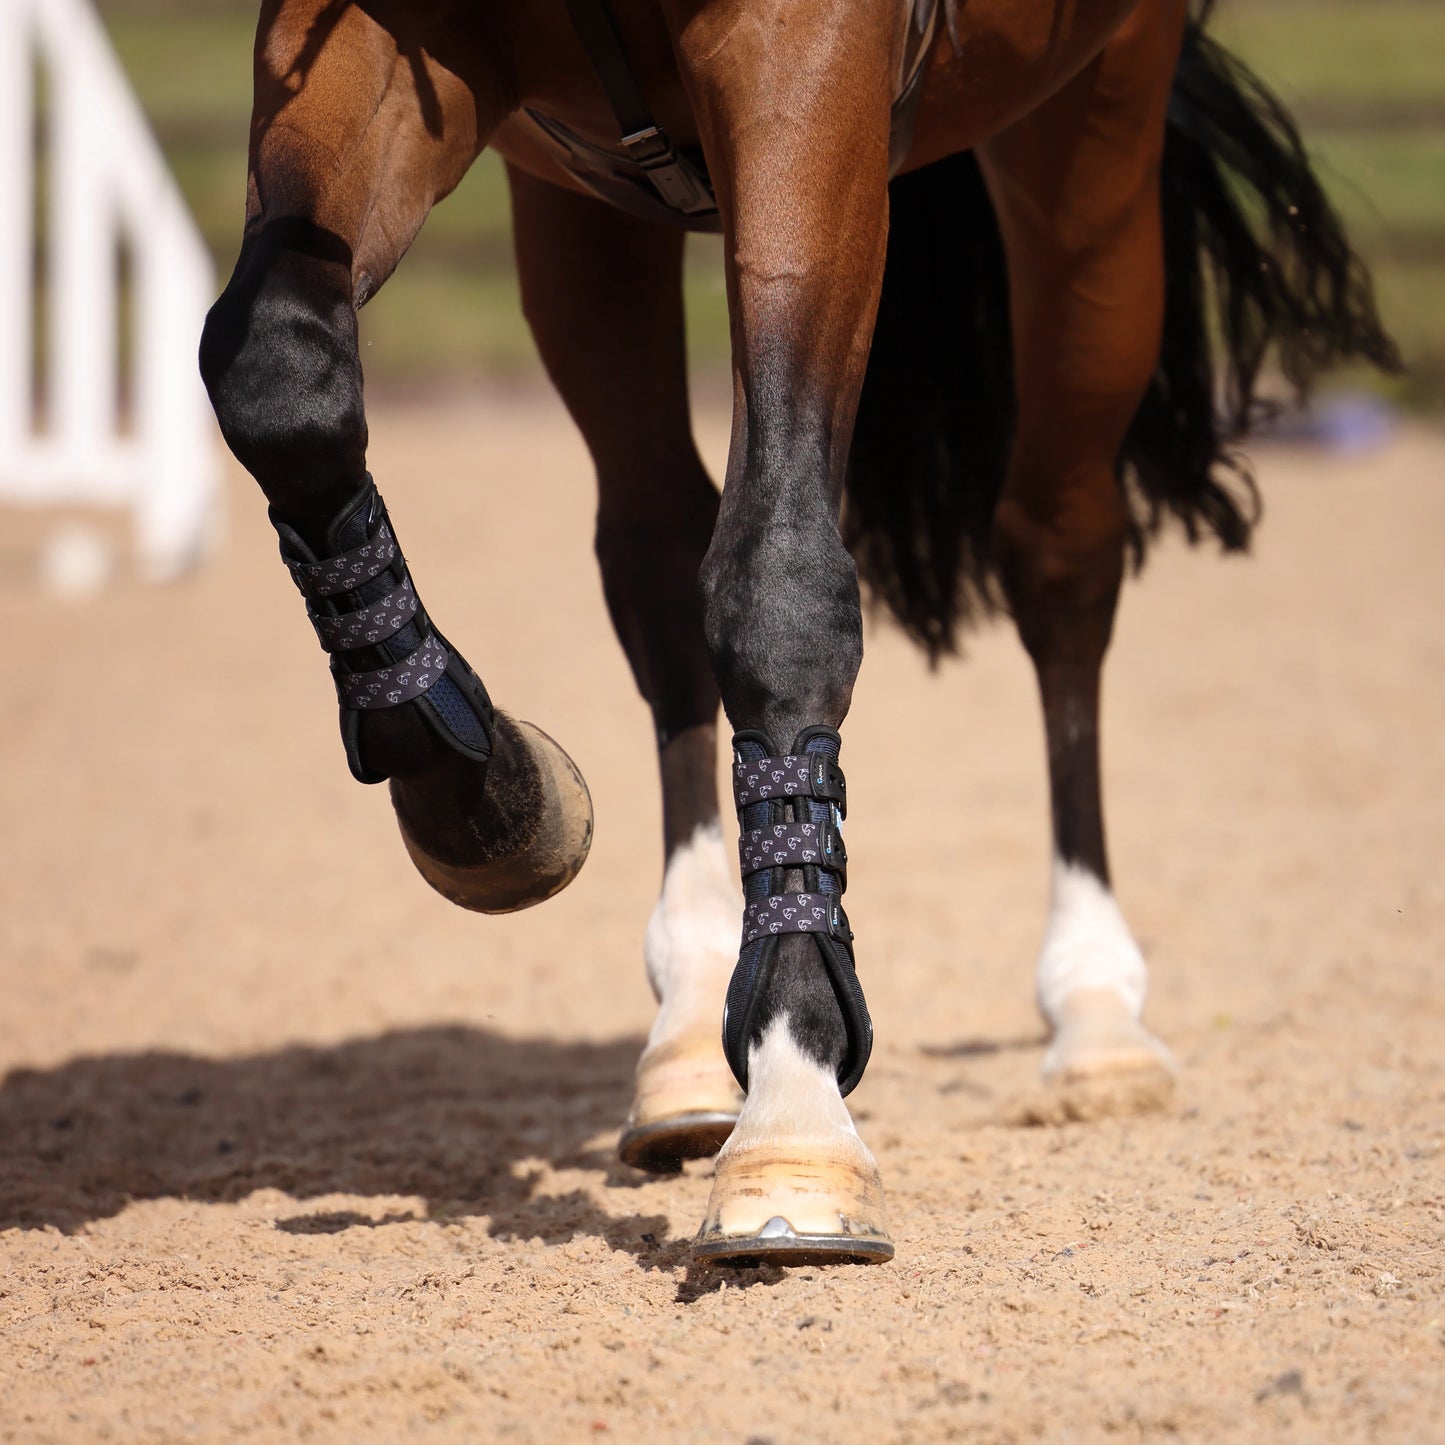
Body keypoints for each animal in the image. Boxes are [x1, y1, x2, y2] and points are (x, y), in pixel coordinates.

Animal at [198, 0, 1398, 1266]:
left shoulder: (804, 69)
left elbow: (777, 577)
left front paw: (793, 1103)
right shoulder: (376, 47)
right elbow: (277, 377)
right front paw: (488, 797)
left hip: (1092, 136)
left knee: (1058, 556)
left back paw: (1093, 1009)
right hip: (579, 209)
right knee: (653, 546)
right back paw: (684, 1026)